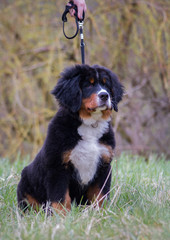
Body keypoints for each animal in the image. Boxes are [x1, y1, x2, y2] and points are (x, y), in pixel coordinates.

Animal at [17, 63, 123, 214]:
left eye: (106, 85)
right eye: (88, 85)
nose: (104, 95)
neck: (90, 125)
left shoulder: (103, 165)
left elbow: (100, 195)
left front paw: (100, 214)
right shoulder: (57, 168)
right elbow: (60, 198)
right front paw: (61, 217)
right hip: (26, 183)